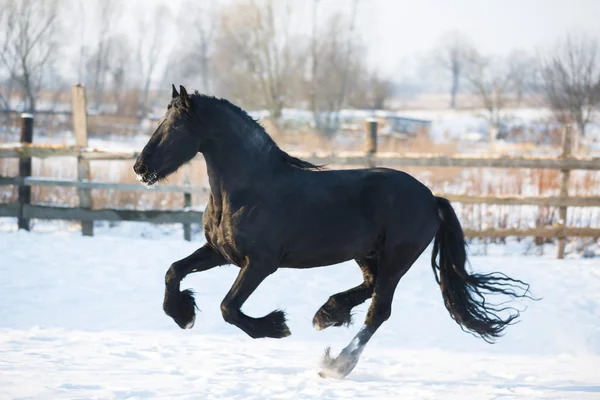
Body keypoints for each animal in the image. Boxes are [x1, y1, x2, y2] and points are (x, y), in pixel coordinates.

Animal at [132, 86, 528, 380]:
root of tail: (432, 198)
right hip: (367, 254)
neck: (247, 189)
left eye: (175, 127)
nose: (140, 167)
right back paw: (328, 313)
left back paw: (336, 364)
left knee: (378, 310)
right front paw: (182, 313)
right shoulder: (220, 252)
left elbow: (229, 307)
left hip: (397, 258)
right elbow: (174, 271)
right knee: (369, 288)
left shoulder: (260, 263)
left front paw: (276, 326)